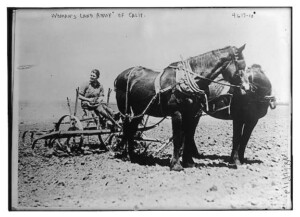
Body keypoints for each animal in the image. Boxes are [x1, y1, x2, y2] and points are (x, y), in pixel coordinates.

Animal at [114, 45, 248, 171]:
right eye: (241, 66)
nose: (245, 89)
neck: (188, 80)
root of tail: (120, 76)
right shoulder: (177, 113)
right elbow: (178, 138)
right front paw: (176, 165)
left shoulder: (192, 114)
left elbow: (187, 136)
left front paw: (188, 162)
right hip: (125, 109)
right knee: (127, 128)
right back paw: (127, 155)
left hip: (139, 110)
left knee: (132, 129)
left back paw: (132, 156)